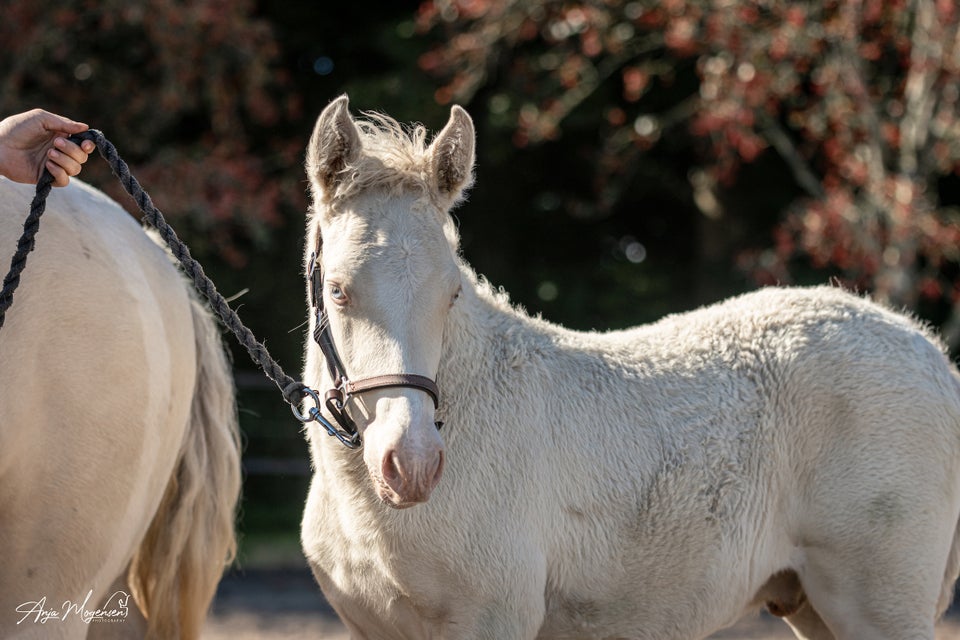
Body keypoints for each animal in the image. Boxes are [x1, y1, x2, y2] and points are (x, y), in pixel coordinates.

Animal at [298, 96, 960, 640]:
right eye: (337, 291)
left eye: (452, 293)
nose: (411, 464)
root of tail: (935, 361)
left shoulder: (490, 618)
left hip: (879, 607)